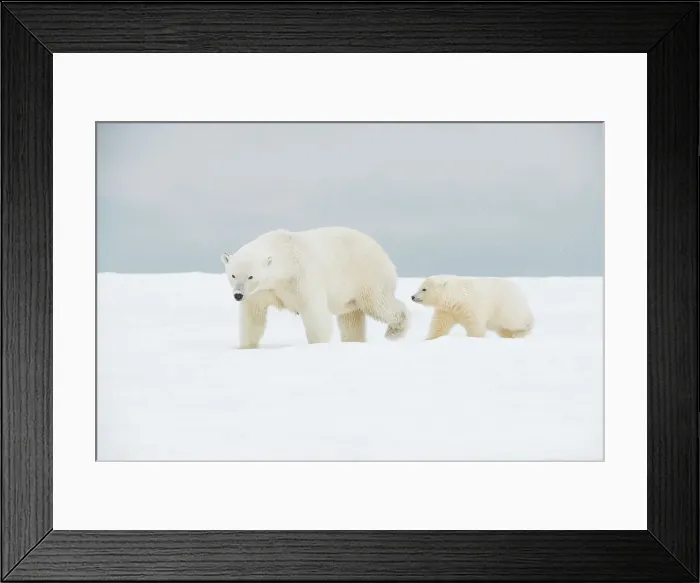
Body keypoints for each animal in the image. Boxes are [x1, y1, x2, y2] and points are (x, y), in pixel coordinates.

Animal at [221, 226, 409, 349]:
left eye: (251, 276)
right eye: (233, 275)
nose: (238, 295)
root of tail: (381, 250)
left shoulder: (302, 277)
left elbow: (315, 313)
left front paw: (317, 345)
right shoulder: (261, 291)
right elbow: (253, 317)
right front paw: (246, 346)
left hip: (367, 276)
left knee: (378, 303)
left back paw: (395, 331)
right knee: (350, 318)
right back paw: (354, 341)